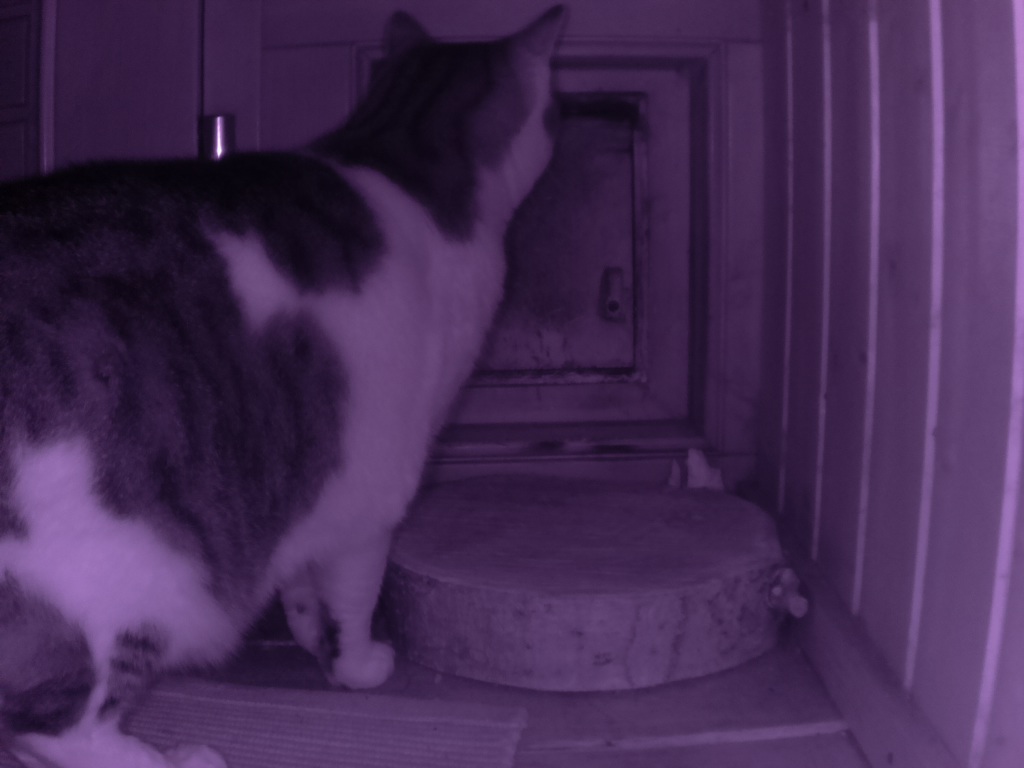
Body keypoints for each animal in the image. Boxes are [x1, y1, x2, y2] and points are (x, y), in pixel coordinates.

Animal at [0, 7, 565, 767]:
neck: (403, 152)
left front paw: (307, 634)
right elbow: (355, 600)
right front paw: (358, 666)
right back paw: (181, 760)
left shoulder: (307, 480)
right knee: (56, 727)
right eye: (558, 109)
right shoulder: (373, 494)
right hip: (134, 582)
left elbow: (303, 586)